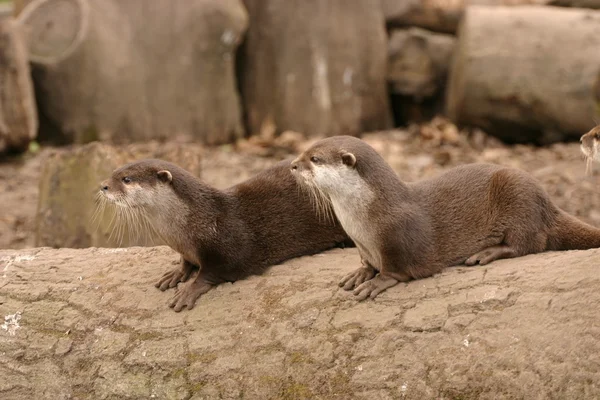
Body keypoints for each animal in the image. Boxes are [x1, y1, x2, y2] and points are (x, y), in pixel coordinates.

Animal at [98, 159, 352, 312]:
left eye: (126, 179)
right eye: (114, 172)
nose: (103, 186)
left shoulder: (231, 247)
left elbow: (215, 271)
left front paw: (189, 290)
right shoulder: (185, 247)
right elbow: (186, 261)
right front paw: (176, 273)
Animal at [290, 136, 600, 298]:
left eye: (315, 159)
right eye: (304, 151)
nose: (292, 165)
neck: (363, 222)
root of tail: (547, 201)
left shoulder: (397, 238)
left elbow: (396, 269)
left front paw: (376, 282)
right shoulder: (362, 244)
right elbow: (367, 261)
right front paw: (360, 273)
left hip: (519, 196)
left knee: (529, 243)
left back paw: (486, 253)